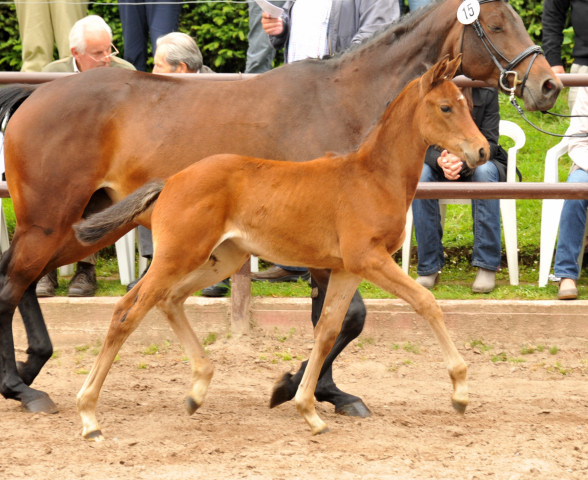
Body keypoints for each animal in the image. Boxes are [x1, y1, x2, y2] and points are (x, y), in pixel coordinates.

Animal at [73, 56, 486, 438]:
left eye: (465, 103)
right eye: (445, 107)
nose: (481, 151)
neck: (374, 177)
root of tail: (171, 181)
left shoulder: (347, 269)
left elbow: (328, 329)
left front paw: (307, 408)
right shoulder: (368, 258)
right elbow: (426, 303)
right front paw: (460, 392)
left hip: (221, 259)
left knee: (169, 300)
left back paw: (197, 390)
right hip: (177, 257)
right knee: (127, 312)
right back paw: (89, 415)